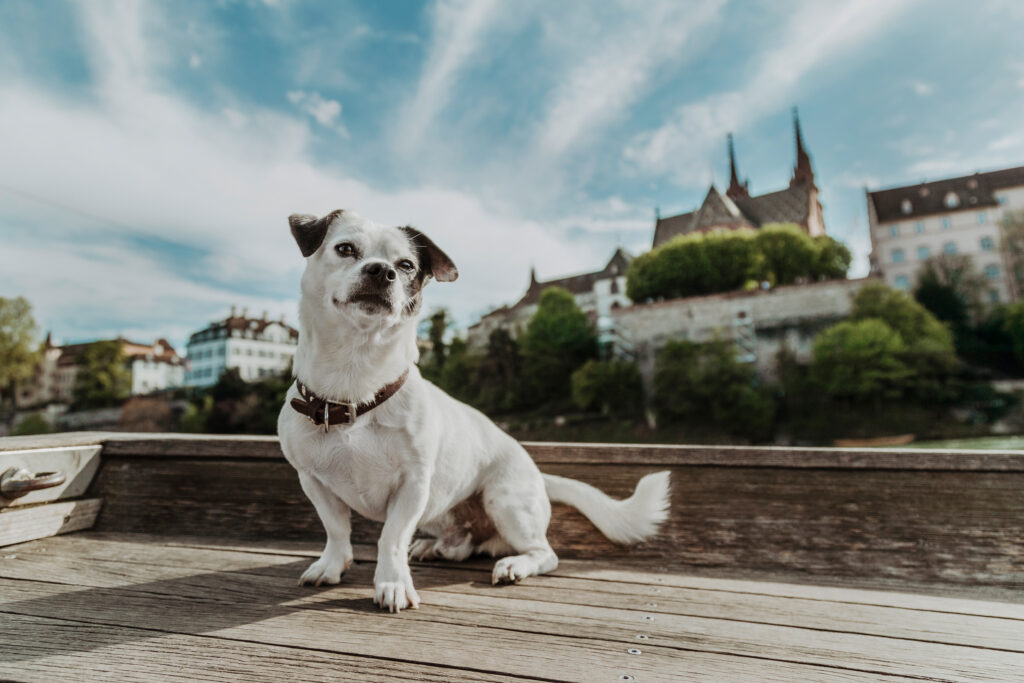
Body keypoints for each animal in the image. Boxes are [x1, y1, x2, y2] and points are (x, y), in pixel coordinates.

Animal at [276, 209, 671, 614]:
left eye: (405, 265)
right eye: (344, 249)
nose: (381, 270)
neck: (357, 384)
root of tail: (538, 476)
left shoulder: (412, 486)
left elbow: (390, 538)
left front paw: (392, 583)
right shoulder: (313, 481)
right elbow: (336, 529)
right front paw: (332, 565)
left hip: (504, 501)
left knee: (544, 553)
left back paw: (514, 565)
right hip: (439, 510)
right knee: (465, 544)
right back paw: (435, 546)